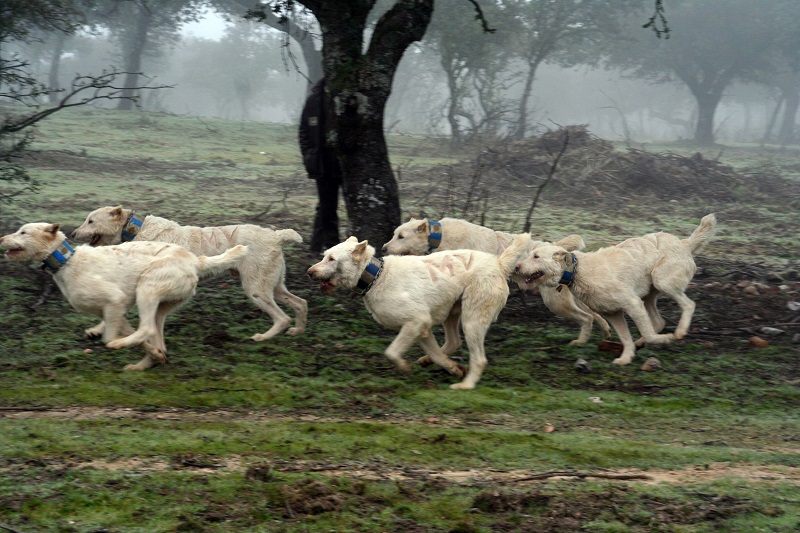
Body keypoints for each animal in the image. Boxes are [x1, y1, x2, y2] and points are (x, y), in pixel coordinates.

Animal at [0, 222, 248, 368]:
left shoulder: (115, 301)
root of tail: (195, 261)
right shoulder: (114, 312)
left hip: (147, 289)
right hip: (161, 304)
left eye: (23, 232)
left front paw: (117, 343)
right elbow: (134, 336)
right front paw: (155, 354)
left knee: (146, 328)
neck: (67, 262)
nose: (1, 239)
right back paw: (147, 362)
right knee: (155, 332)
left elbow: (111, 337)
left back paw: (126, 348)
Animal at [73, 204, 308, 340]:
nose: (73, 233)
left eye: (91, 221)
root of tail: (276, 235)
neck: (134, 230)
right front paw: (98, 329)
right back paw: (298, 330)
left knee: (282, 318)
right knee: (301, 303)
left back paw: (263, 337)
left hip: (256, 289)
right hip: (273, 286)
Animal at [306, 235, 532, 388]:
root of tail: (498, 264)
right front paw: (451, 367)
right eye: (324, 256)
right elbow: (435, 353)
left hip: (472, 321)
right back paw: (429, 361)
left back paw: (465, 386)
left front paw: (404, 367)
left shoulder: (416, 322)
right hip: (452, 312)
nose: (309, 272)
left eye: (332, 259)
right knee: (453, 342)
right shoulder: (423, 328)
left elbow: (391, 352)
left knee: (479, 359)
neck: (377, 276)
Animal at [382, 217, 612, 344]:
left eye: (401, 236)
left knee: (586, 317)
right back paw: (605, 331)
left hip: (556, 302)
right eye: (395, 234)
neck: (440, 236)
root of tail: (555, 249)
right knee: (593, 314)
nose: (383, 248)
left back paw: (581, 341)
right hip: (568, 298)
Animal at [512, 214, 720, 364]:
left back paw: (678, 332)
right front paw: (626, 358)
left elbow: (648, 333)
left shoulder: (632, 304)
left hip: (662, 282)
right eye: (529, 255)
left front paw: (665, 340)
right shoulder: (613, 314)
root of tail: (683, 243)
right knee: (658, 322)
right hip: (648, 295)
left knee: (688, 305)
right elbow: (626, 337)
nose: (516, 267)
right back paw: (640, 343)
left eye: (536, 257)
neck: (578, 270)